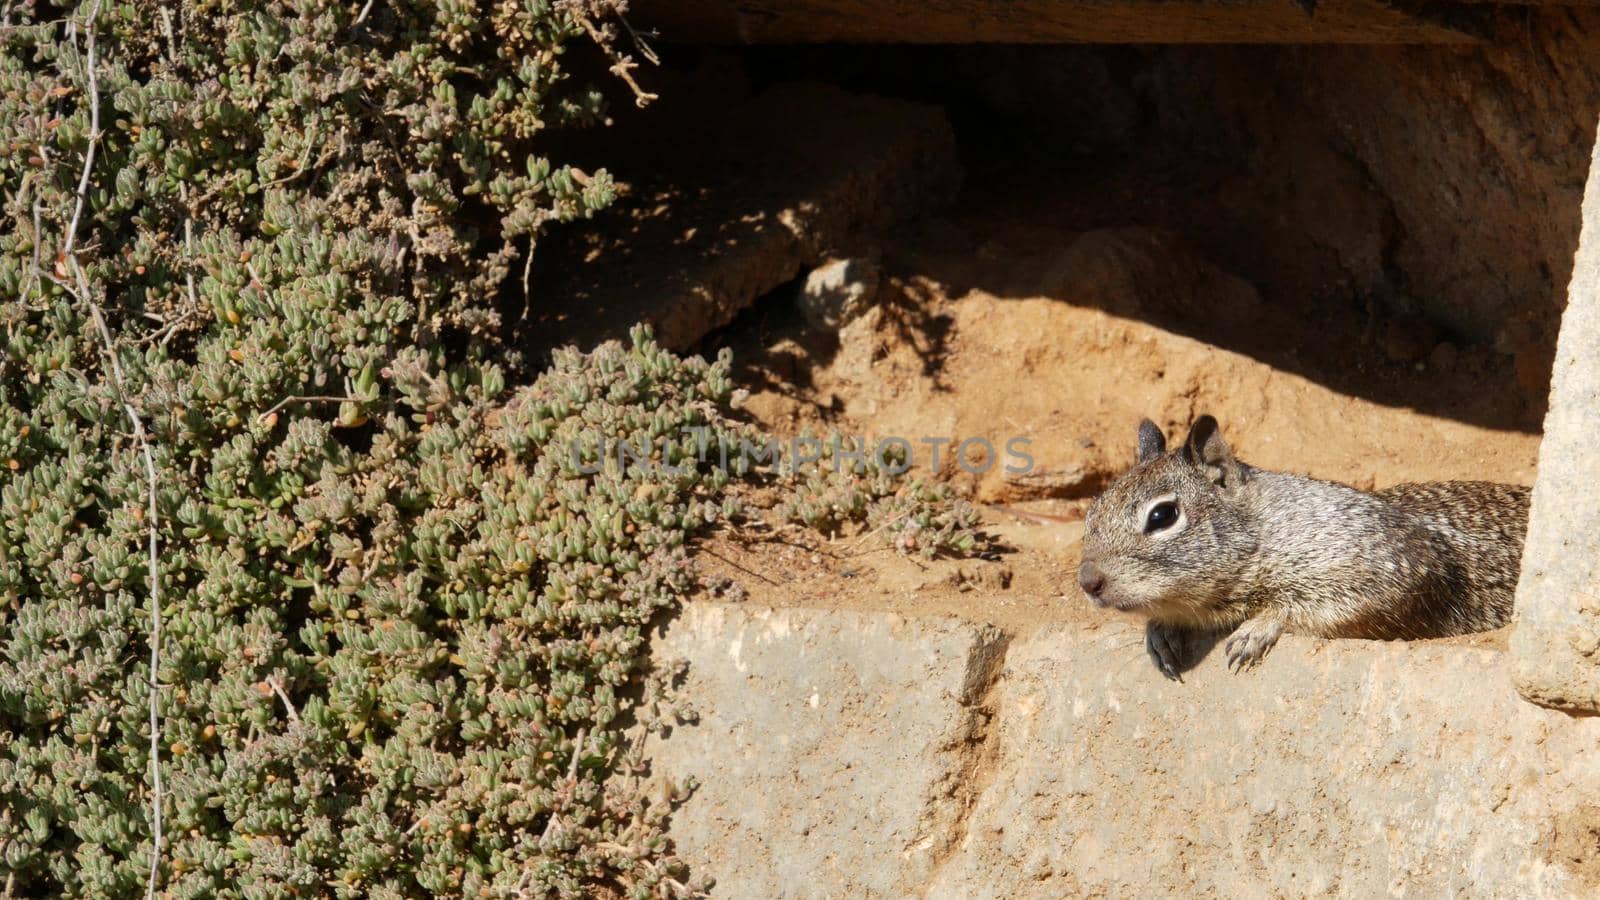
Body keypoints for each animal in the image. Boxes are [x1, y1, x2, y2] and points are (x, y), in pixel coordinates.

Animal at [1081, 416, 1529, 675]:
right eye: (1093, 509)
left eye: (1162, 516)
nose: (1087, 581)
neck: (1267, 529)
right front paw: (1158, 633)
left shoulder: (1387, 567)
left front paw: (1257, 629)